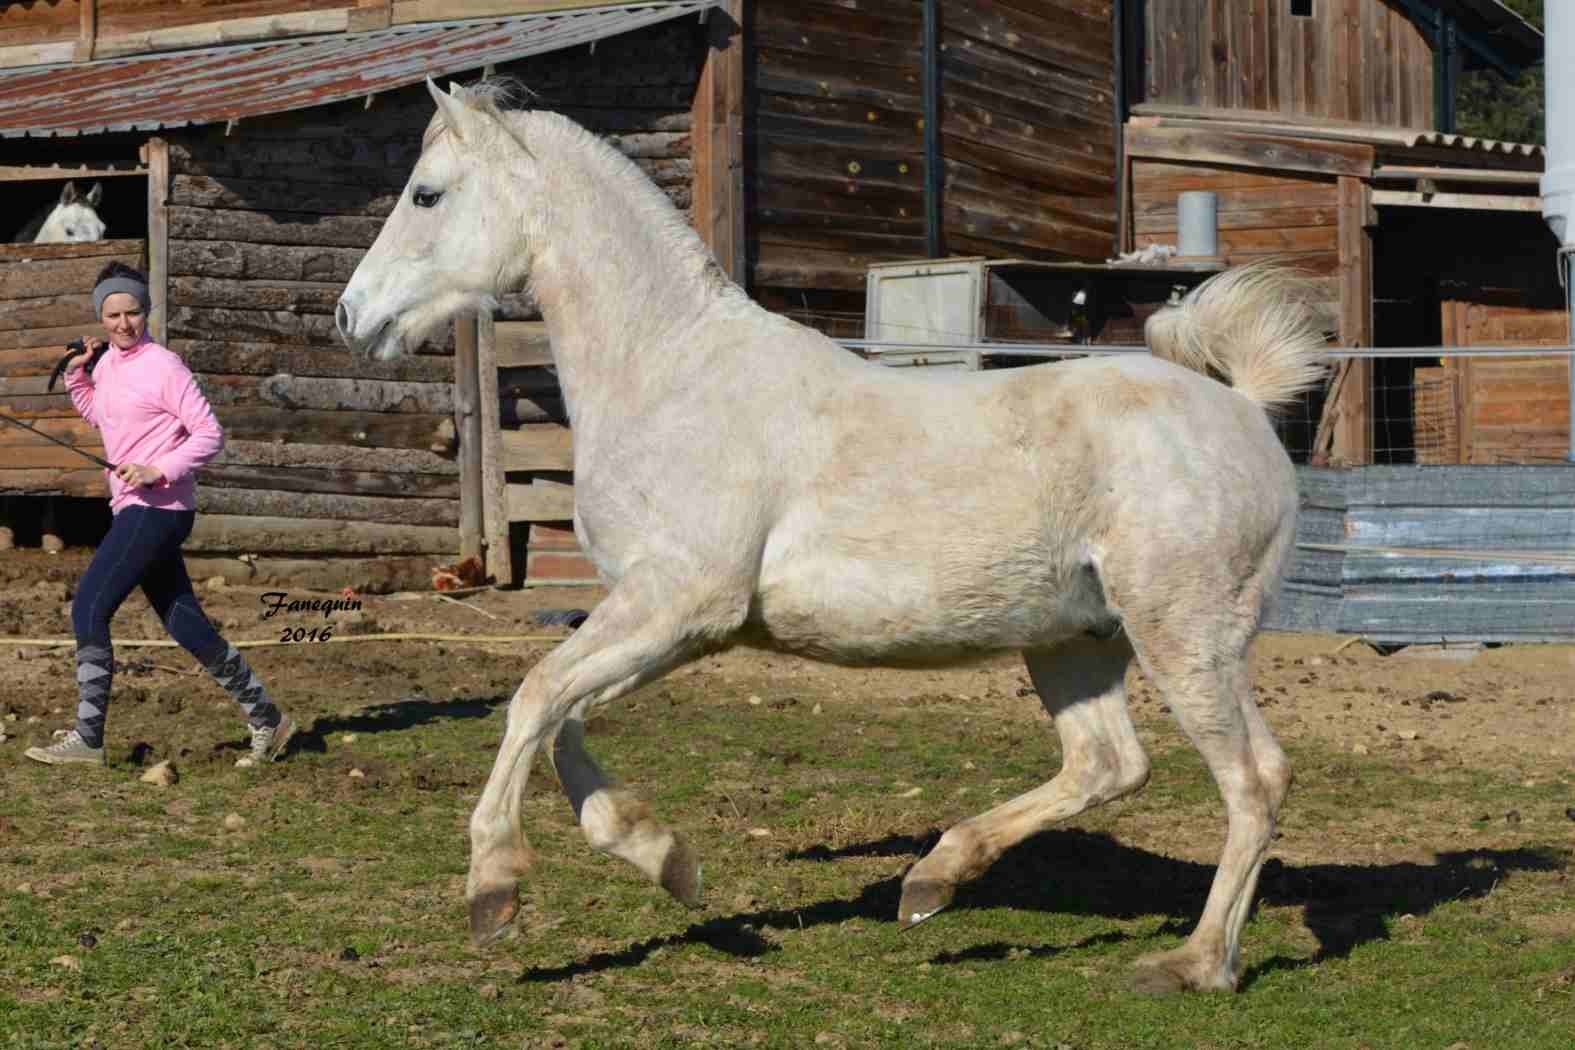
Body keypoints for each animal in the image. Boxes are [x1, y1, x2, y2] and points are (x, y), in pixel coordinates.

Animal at [335, 77, 1329, 1001]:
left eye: (425, 194)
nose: (352, 316)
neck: (672, 373)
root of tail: (1245, 408)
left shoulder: (679, 605)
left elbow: (533, 700)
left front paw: (493, 891)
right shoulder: (668, 622)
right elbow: (563, 719)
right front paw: (666, 860)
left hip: (1183, 636)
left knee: (1254, 780)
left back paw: (1196, 965)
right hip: (1075, 640)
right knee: (1107, 763)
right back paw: (933, 881)